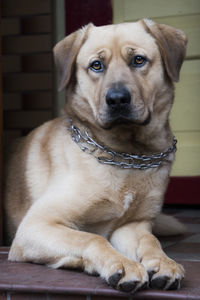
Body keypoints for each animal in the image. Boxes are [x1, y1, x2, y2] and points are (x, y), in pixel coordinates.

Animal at [4, 19, 188, 292]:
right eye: (96, 65)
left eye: (138, 60)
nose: (117, 99)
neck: (126, 155)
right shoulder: (36, 225)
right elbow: (92, 238)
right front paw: (121, 264)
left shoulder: (132, 226)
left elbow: (150, 240)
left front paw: (163, 262)